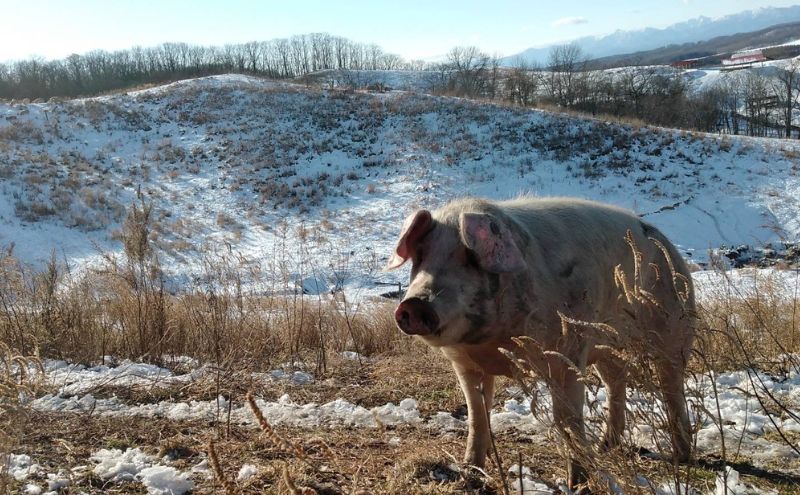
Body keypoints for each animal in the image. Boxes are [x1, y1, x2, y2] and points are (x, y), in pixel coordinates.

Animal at [386, 197, 692, 488]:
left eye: (470, 258)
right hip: (607, 348)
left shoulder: (567, 352)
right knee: (616, 381)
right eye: (420, 256)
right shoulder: (465, 364)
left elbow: (567, 419)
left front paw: (579, 483)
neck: (491, 343)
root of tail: (662, 239)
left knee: (671, 386)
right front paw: (469, 474)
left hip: (674, 324)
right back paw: (605, 447)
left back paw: (681, 455)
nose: (414, 304)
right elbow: (477, 415)